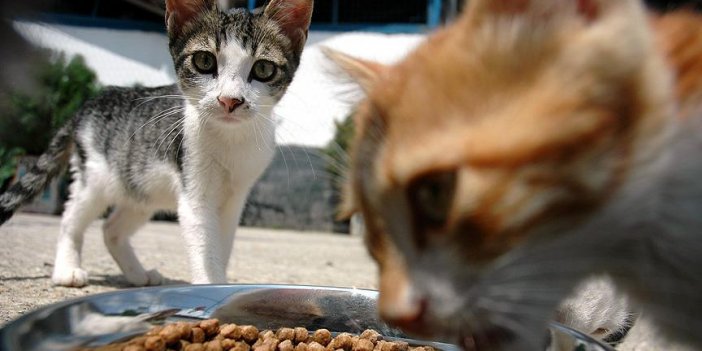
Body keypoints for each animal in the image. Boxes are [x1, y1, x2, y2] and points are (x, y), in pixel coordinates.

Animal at [0, 0, 314, 288]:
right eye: (204, 62)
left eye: (263, 68)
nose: (230, 100)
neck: (231, 140)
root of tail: (87, 105)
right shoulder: (194, 190)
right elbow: (204, 244)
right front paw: (209, 286)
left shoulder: (235, 197)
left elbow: (222, 244)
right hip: (97, 178)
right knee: (70, 218)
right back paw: (67, 271)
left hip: (140, 188)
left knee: (111, 228)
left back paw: (137, 275)